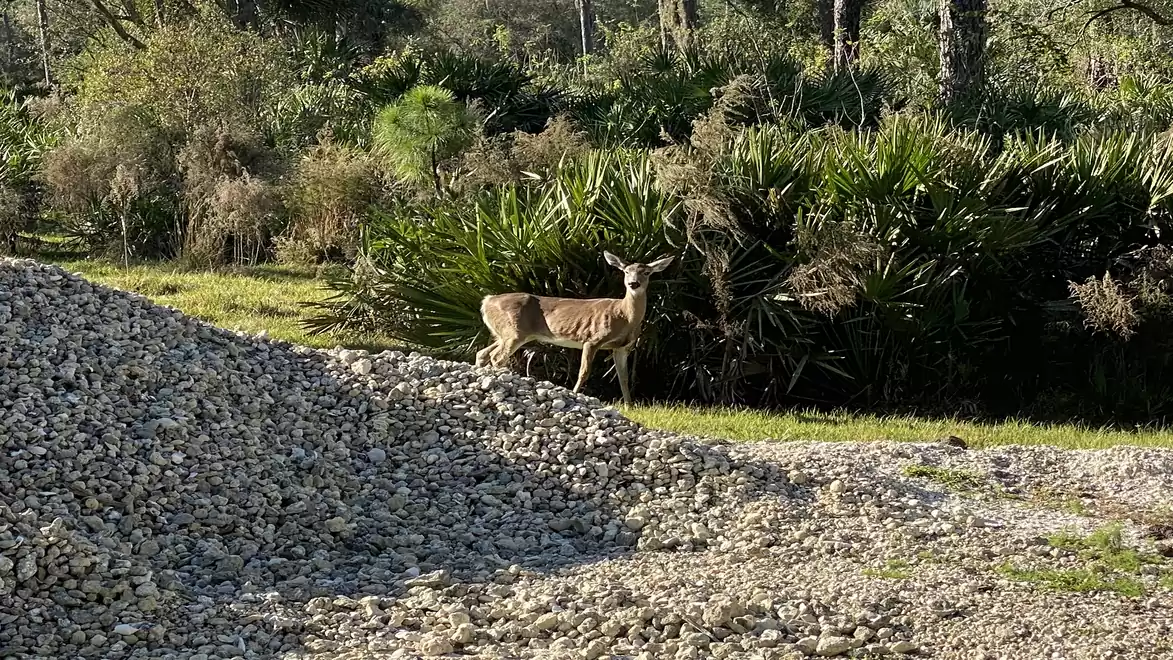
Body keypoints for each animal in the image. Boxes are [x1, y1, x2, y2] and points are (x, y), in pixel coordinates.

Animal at [474, 251, 674, 404]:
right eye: (626, 271)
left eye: (647, 272)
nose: (633, 283)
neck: (624, 316)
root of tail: (487, 301)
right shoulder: (592, 339)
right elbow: (583, 372)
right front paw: (576, 394)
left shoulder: (622, 347)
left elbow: (623, 378)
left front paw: (629, 406)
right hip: (514, 331)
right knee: (497, 357)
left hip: (507, 333)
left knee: (482, 353)